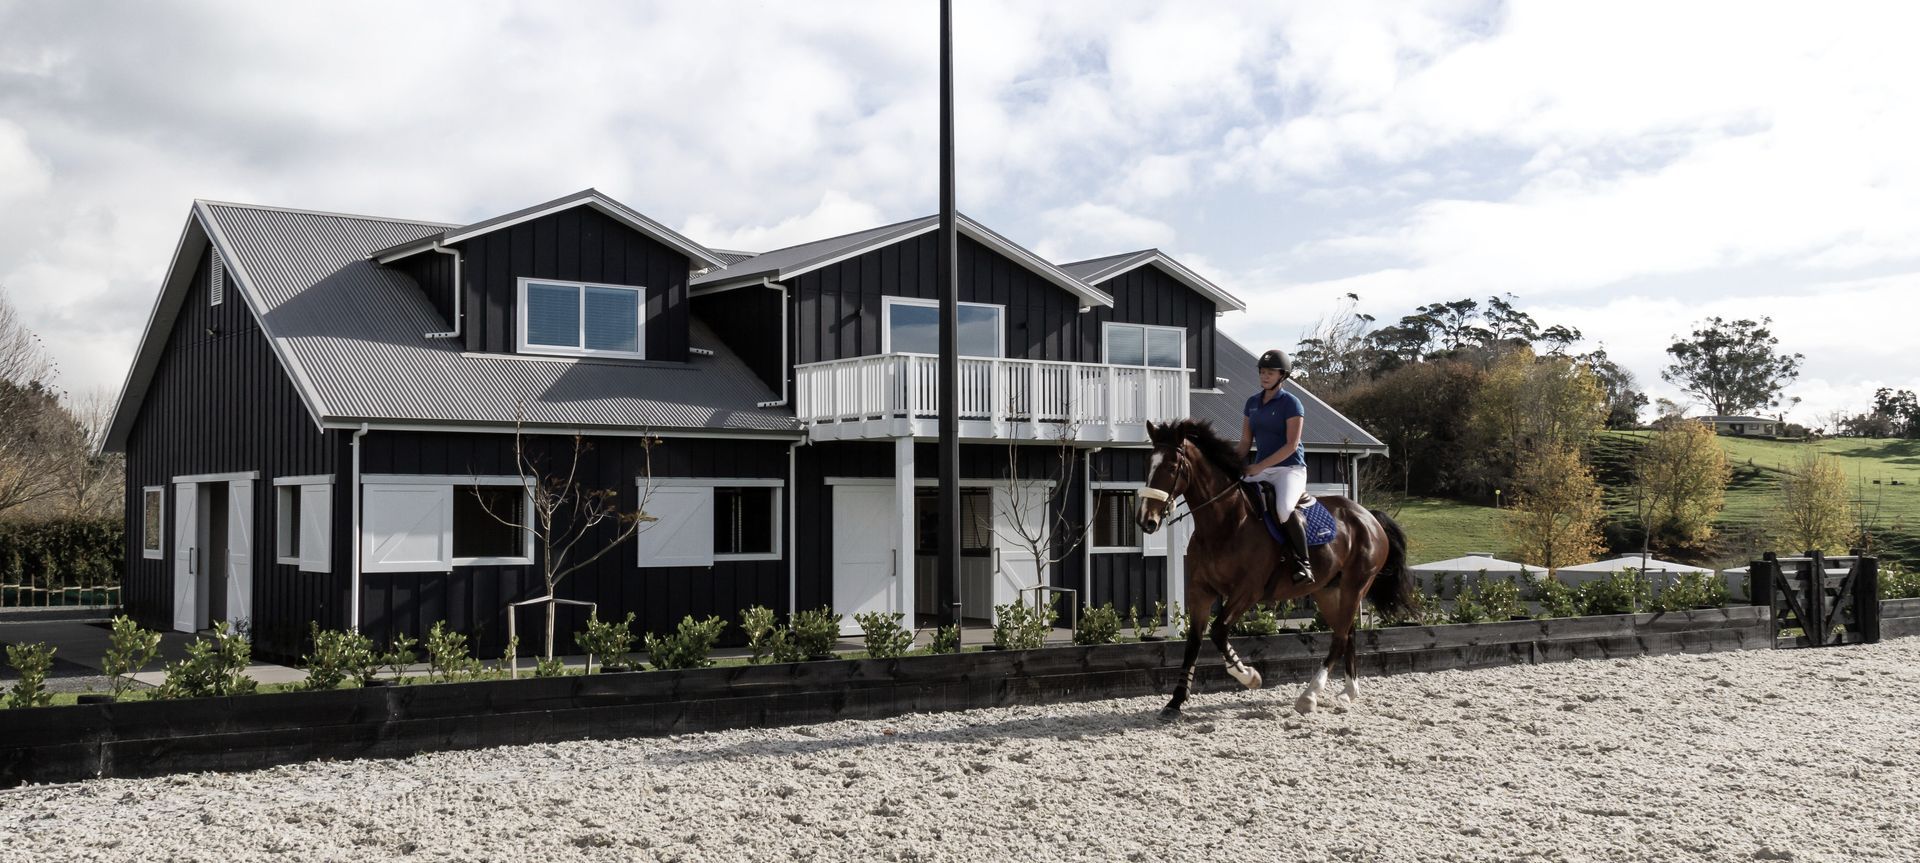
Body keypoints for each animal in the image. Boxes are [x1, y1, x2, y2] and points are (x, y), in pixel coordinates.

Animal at [1128, 417, 1420, 718]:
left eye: (1172, 467)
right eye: (1148, 464)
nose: (1146, 520)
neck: (1225, 523)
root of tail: (1367, 516)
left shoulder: (1247, 591)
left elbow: (1218, 632)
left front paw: (1249, 676)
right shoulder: (1201, 591)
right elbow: (1194, 642)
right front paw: (1175, 701)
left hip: (1355, 585)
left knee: (1340, 637)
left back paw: (1309, 696)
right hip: (1329, 590)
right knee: (1347, 632)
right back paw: (1348, 692)